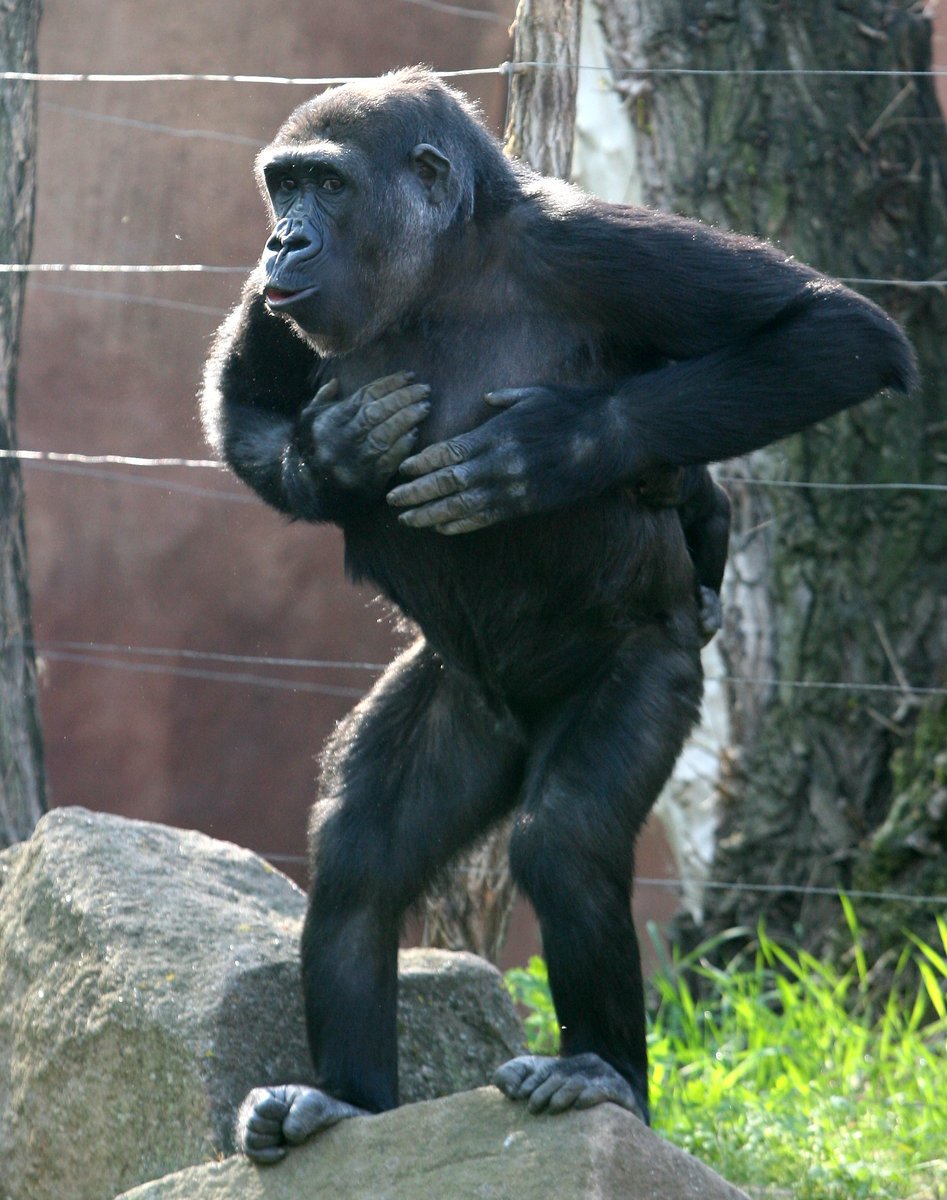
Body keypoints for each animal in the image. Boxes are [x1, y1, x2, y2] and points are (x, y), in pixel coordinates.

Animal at [198, 68, 907, 1161]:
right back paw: (345, 1099)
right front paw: (336, 456)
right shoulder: (274, 309)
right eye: (284, 187)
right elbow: (243, 400)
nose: (284, 241)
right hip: (459, 696)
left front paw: (556, 447)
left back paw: (599, 1073)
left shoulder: (594, 245)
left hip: (652, 667)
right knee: (359, 858)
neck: (447, 270)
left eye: (329, 185)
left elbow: (832, 331)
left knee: (562, 838)